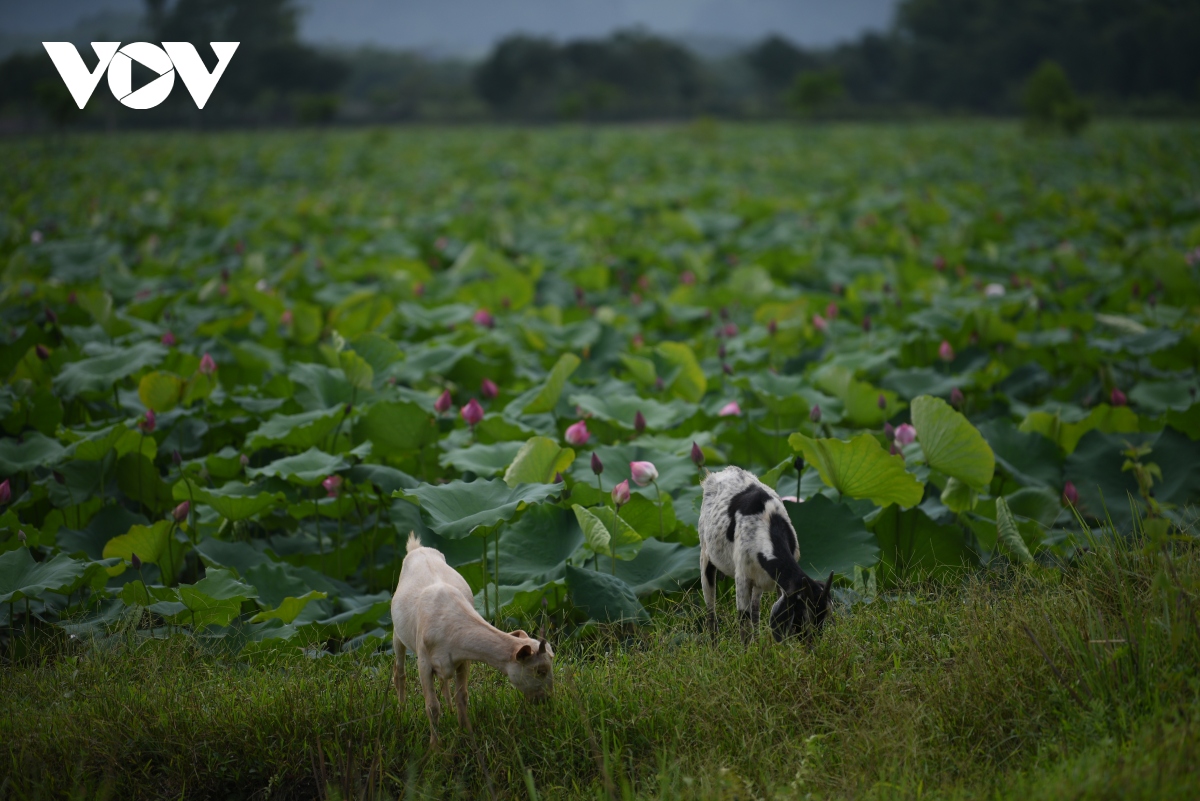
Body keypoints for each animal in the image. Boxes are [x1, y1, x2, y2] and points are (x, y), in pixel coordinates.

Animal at [388, 532, 552, 743]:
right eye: (541, 670)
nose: (546, 699)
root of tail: (417, 548)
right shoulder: (423, 663)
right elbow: (432, 706)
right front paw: (435, 746)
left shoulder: (462, 659)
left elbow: (462, 697)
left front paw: (467, 733)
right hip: (397, 632)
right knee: (399, 671)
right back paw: (401, 712)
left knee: (444, 681)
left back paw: (449, 710)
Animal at [700, 462, 830, 642]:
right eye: (802, 614)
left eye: (824, 616)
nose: (812, 644)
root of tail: (722, 472)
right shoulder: (742, 577)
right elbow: (743, 621)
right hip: (705, 553)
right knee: (711, 610)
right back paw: (714, 645)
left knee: (755, 610)